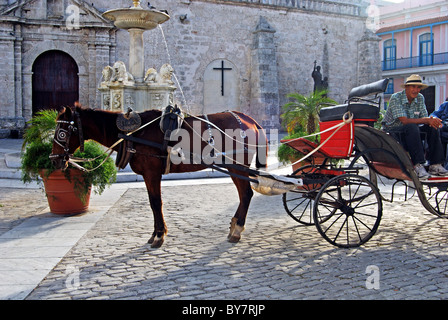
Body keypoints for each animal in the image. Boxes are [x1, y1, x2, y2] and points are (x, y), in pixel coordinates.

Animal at [50, 105, 266, 248]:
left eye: (62, 132)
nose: (54, 160)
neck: (132, 134)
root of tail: (249, 119)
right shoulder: (149, 175)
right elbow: (153, 202)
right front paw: (156, 233)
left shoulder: (152, 173)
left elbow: (155, 202)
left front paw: (159, 235)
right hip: (233, 167)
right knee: (243, 194)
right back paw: (234, 225)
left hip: (238, 167)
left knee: (246, 194)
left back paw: (237, 229)